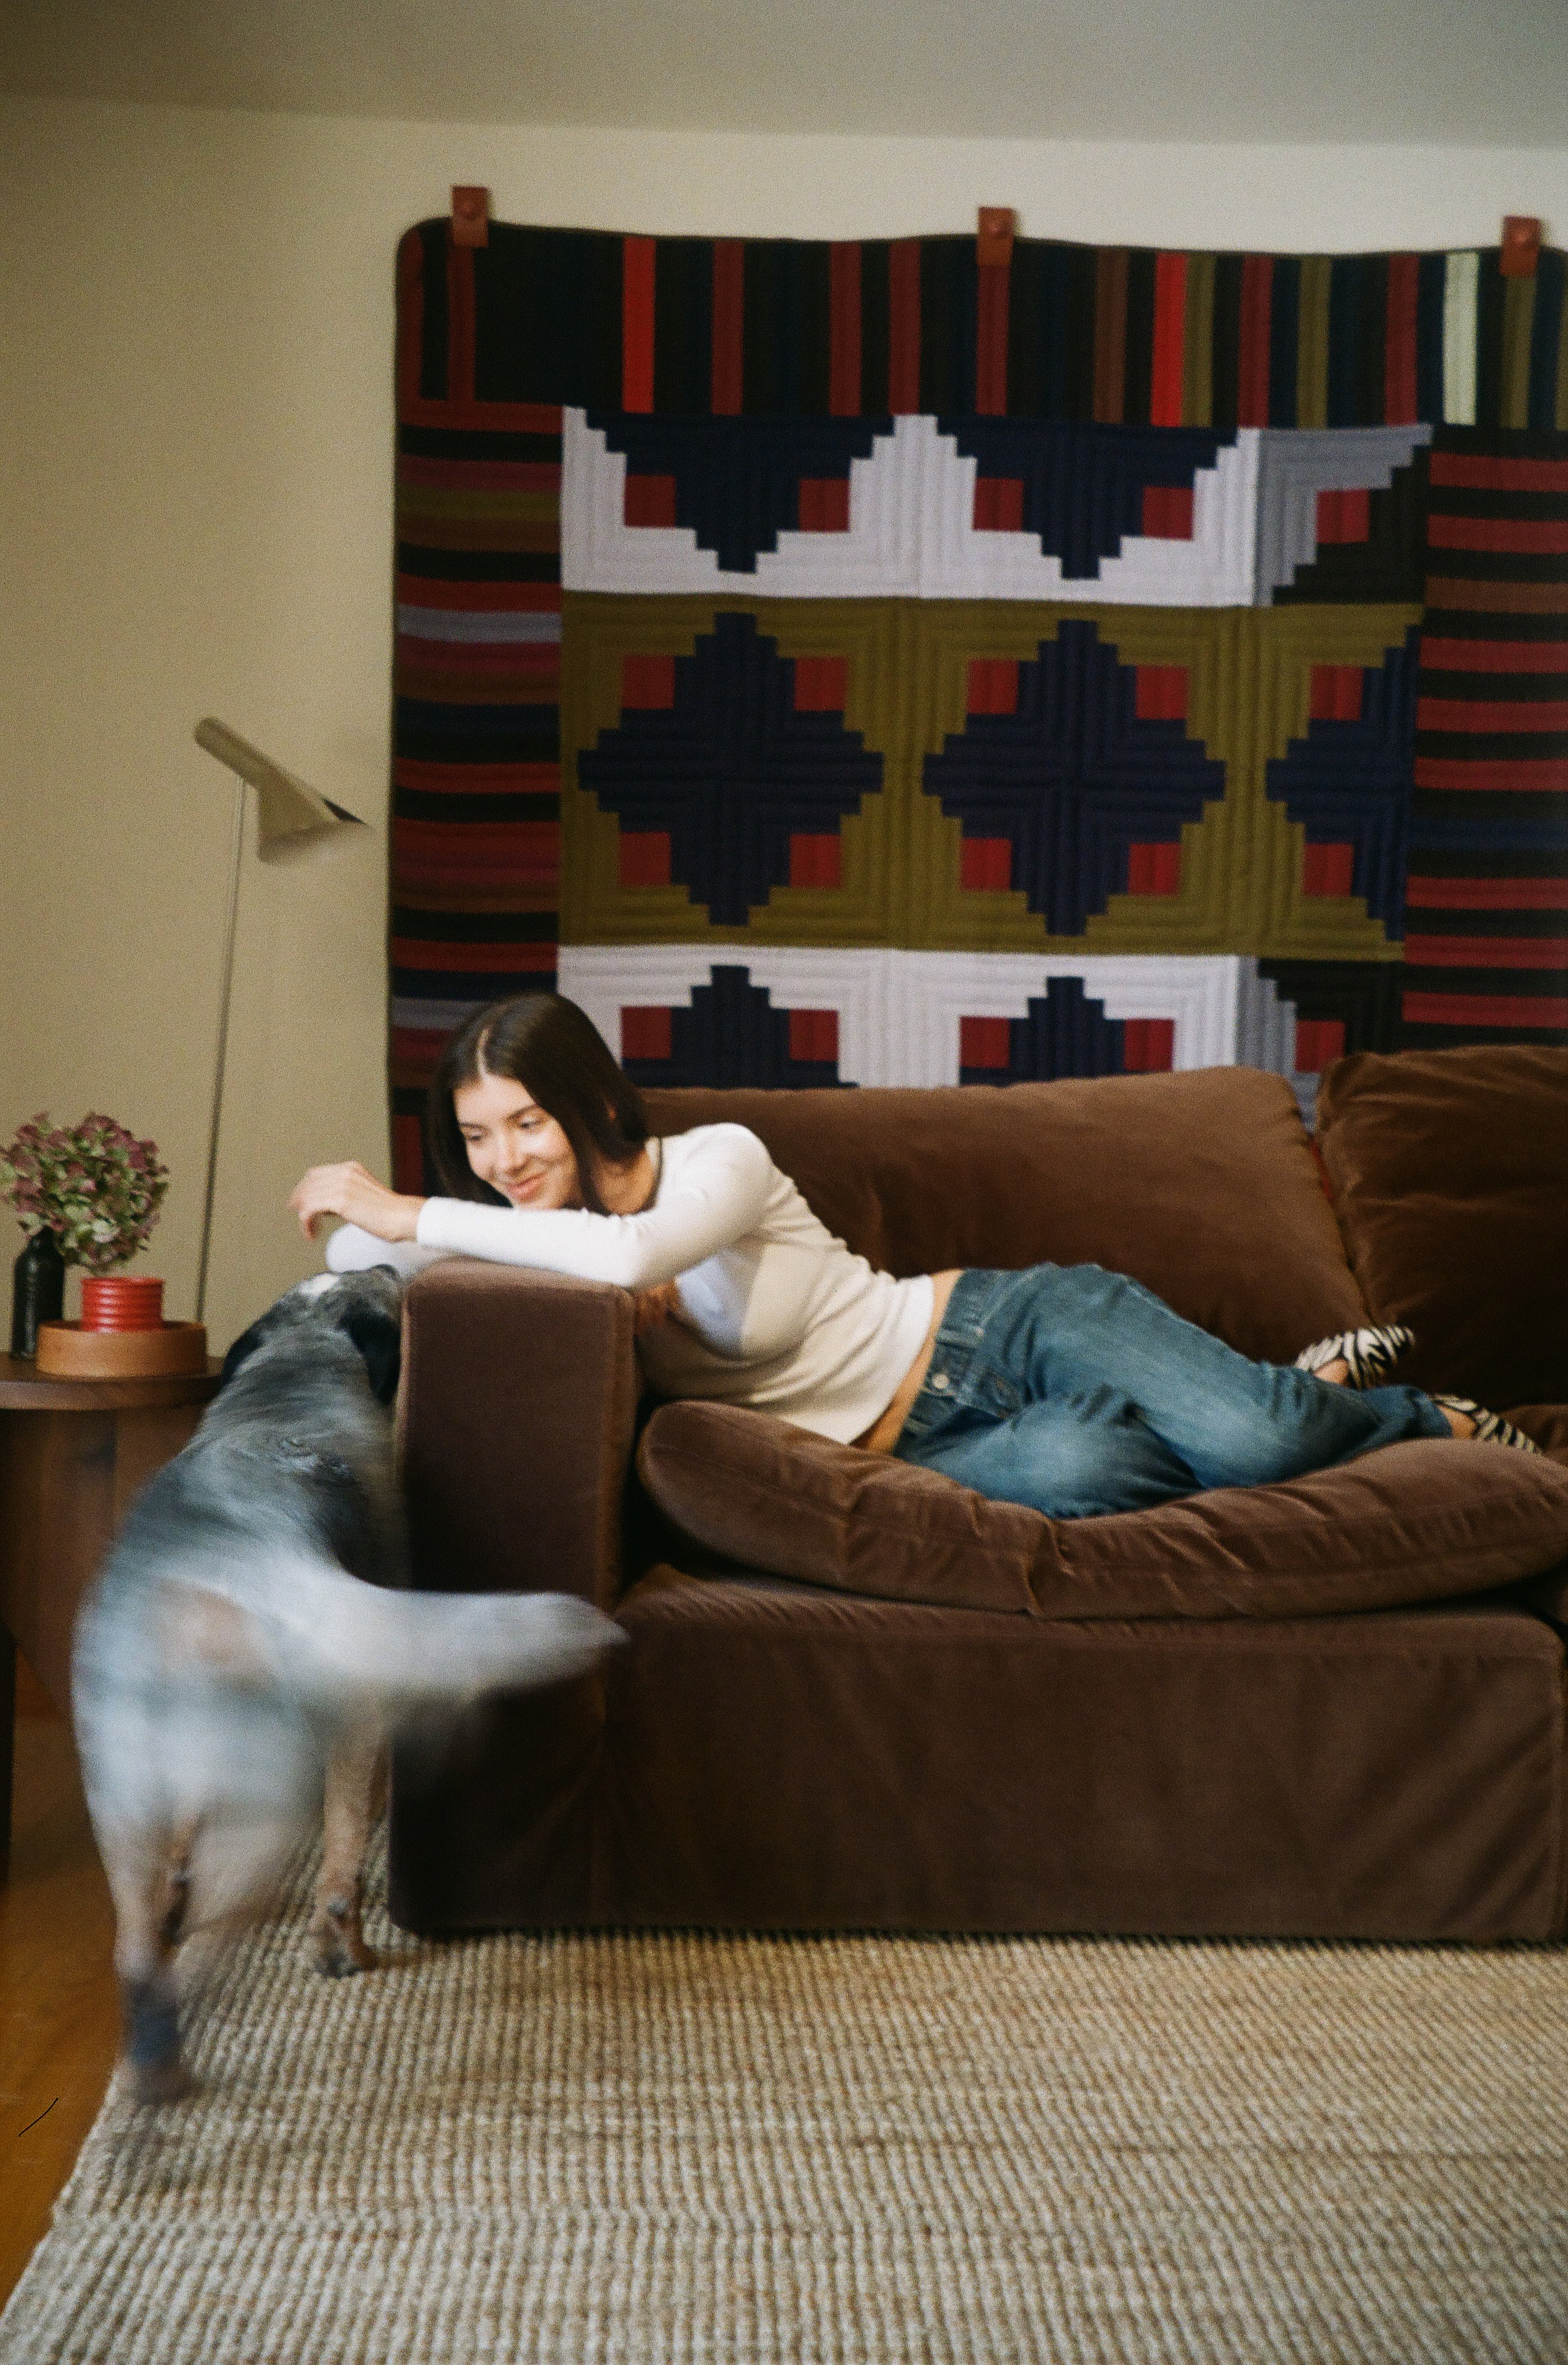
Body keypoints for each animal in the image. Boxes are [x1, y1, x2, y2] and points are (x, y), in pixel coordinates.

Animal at [73, 1266, 622, 2104]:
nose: (395, 1265)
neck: (292, 1379)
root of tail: (214, 1565)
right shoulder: (360, 1712)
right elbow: (346, 1844)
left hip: (125, 1794)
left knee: (139, 1946)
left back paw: (144, 2070)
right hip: (270, 1794)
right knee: (235, 1915)